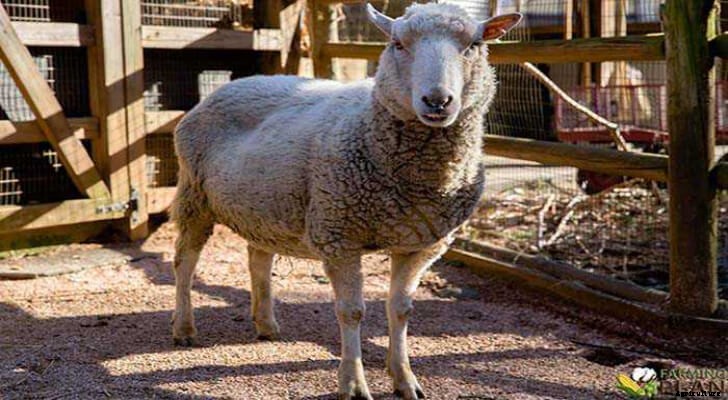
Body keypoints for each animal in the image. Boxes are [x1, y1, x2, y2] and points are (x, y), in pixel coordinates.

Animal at [170, 3, 521, 399]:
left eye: (474, 45)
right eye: (397, 44)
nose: (437, 101)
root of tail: (230, 85)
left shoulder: (420, 244)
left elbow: (401, 310)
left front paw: (404, 378)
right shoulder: (339, 236)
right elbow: (351, 312)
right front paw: (353, 383)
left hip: (265, 206)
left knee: (258, 259)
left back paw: (266, 324)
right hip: (194, 196)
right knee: (184, 262)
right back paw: (184, 328)